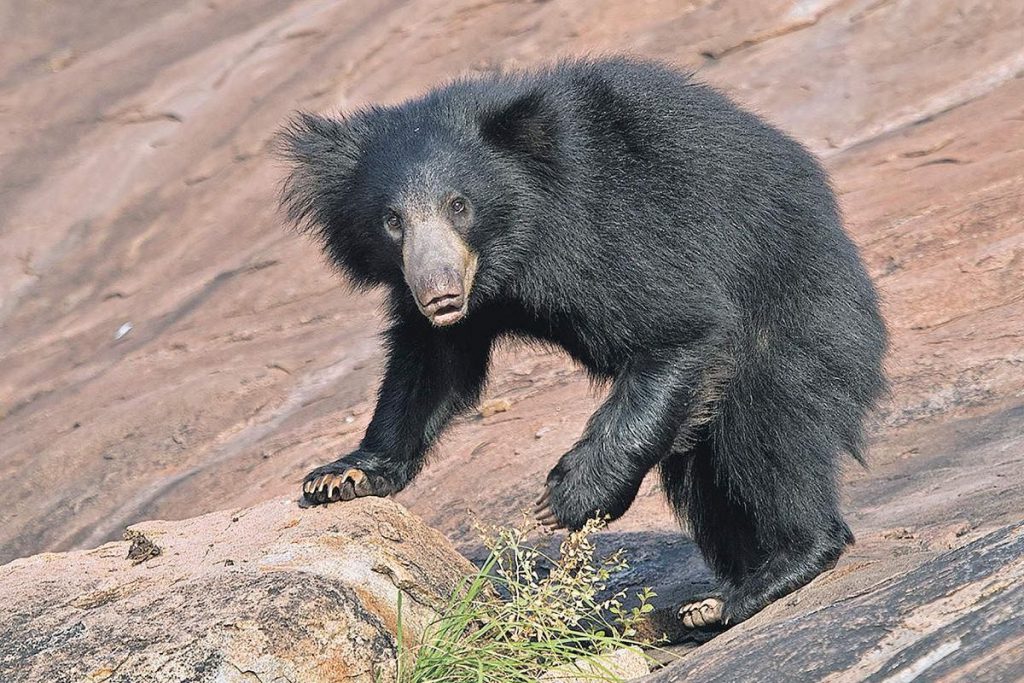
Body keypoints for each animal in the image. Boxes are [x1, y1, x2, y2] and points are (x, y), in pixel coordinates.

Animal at [278, 58, 888, 630]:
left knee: (769, 433)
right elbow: (434, 364)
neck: (512, 251)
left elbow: (679, 326)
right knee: (704, 474)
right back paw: (715, 595)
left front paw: (564, 501)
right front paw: (341, 476)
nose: (440, 294)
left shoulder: (607, 231)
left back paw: (764, 577)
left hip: (798, 318)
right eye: (392, 220)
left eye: (459, 205)